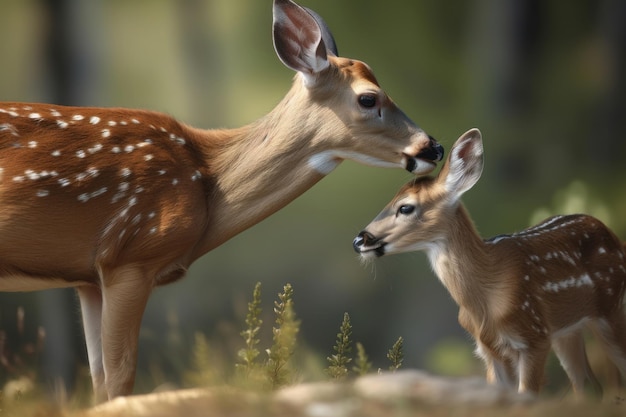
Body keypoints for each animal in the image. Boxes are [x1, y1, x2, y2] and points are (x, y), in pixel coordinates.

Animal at [0, 0, 444, 402]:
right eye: (369, 98)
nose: (433, 147)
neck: (208, 179)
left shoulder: (88, 278)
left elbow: (98, 382)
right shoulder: (130, 258)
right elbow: (121, 380)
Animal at [352, 128, 624, 394]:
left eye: (405, 207)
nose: (359, 240)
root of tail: (614, 238)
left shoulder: (534, 338)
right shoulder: (489, 349)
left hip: (610, 309)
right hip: (567, 329)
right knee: (588, 384)